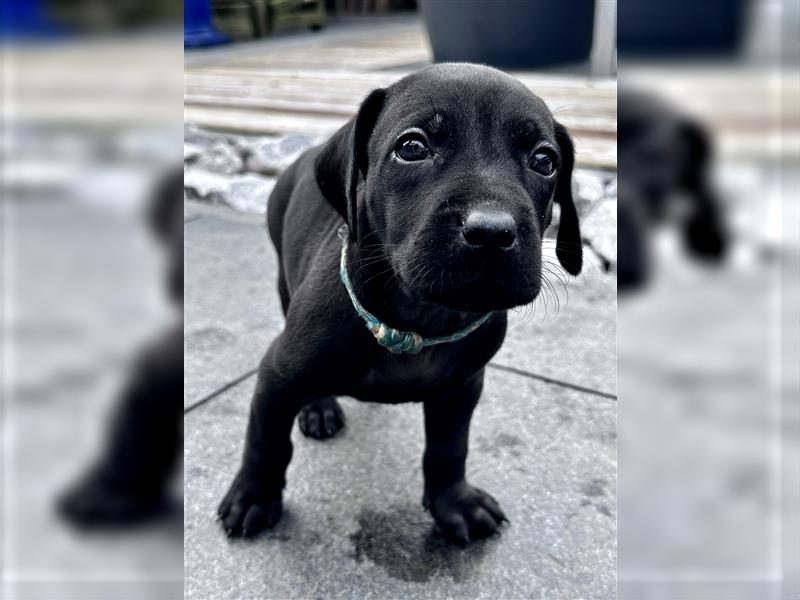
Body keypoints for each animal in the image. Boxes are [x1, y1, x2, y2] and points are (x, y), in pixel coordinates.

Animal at [219, 65, 580, 544]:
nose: (491, 232)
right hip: (284, 279)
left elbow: (449, 449)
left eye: (544, 161)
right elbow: (265, 441)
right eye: (412, 148)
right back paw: (318, 408)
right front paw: (253, 497)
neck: (418, 319)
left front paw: (455, 503)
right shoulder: (277, 375)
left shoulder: (462, 388)